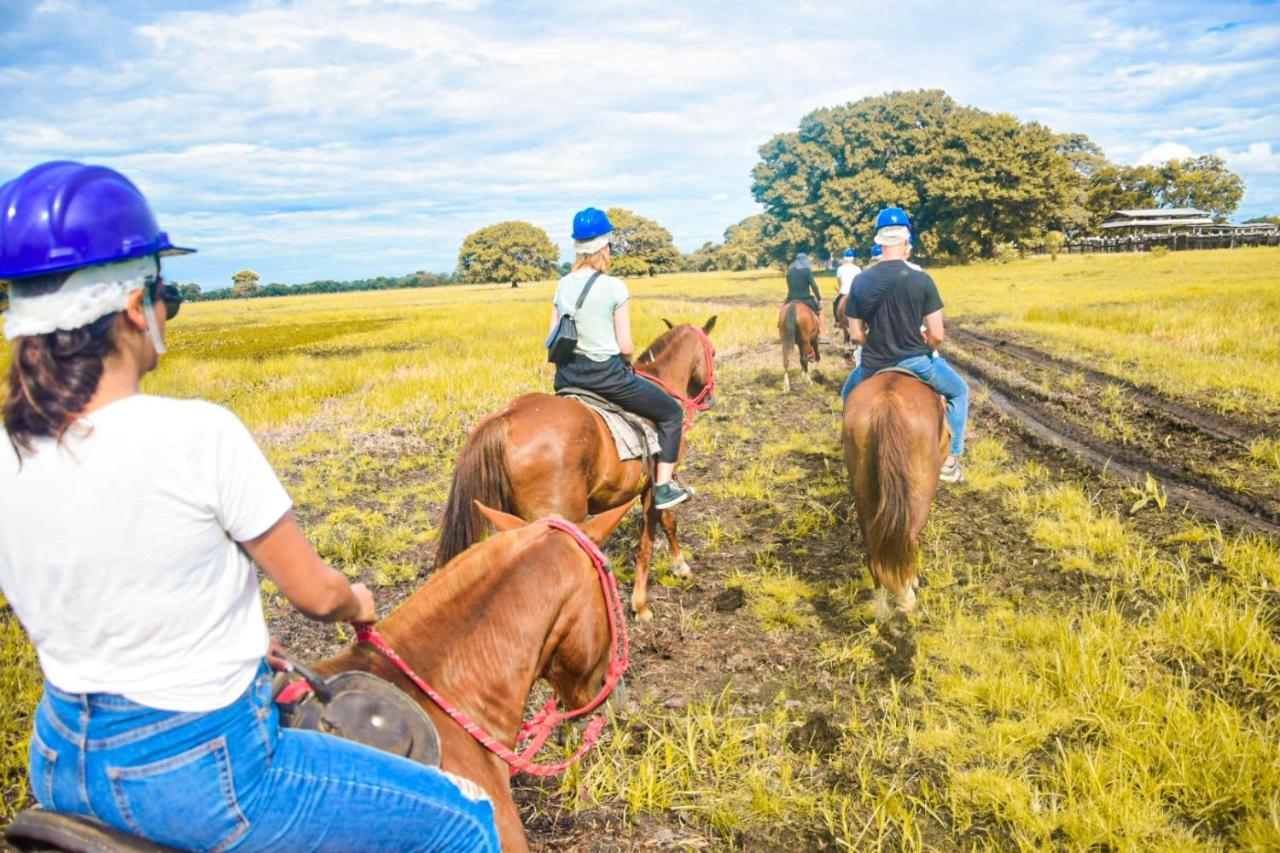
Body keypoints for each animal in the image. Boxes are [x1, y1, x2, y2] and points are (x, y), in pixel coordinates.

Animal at [432, 318, 716, 617]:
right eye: (713, 352)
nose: (708, 398)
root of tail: (506, 417)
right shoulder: (656, 485)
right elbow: (652, 536)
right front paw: (642, 603)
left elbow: (666, 523)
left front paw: (679, 569)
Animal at [844, 371, 947, 617]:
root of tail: (887, 403)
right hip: (919, 497)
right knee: (906, 539)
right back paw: (906, 594)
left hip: (865, 495)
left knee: (874, 555)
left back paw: (882, 610)